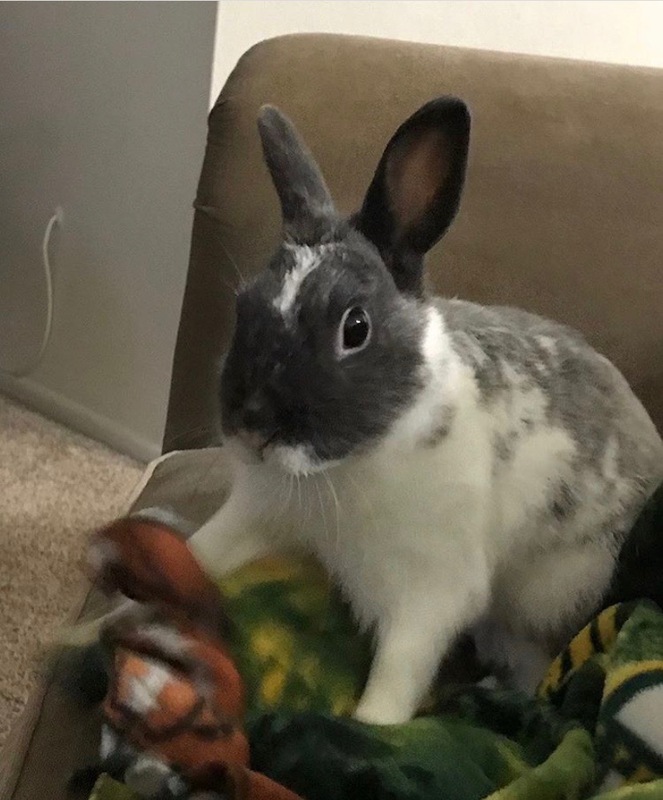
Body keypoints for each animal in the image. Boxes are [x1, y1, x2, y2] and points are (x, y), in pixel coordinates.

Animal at [189, 98, 663, 725]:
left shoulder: (429, 594)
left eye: (355, 328)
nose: (253, 426)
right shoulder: (258, 515)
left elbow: (396, 680)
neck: (349, 465)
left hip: (547, 598)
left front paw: (370, 726)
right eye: (244, 307)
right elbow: (200, 552)